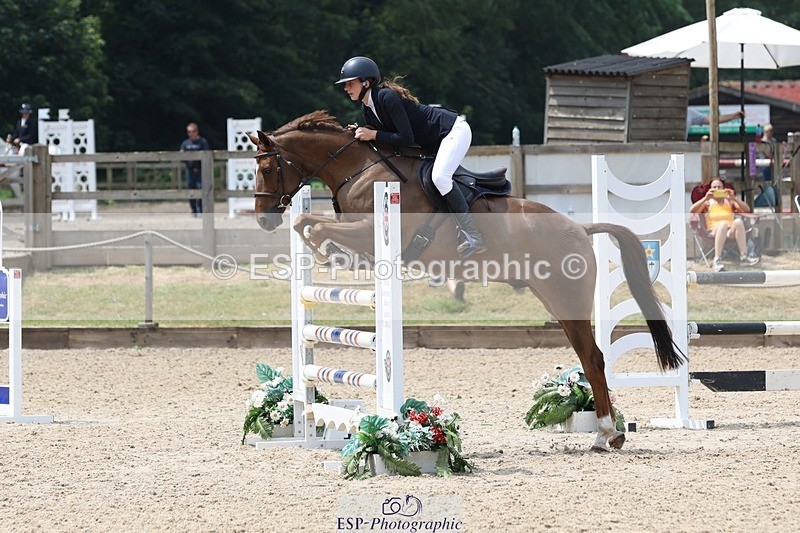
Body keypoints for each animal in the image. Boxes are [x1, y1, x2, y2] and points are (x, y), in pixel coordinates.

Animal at [248, 110, 685, 452]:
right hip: (556, 301)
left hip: (568, 302)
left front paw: (325, 249)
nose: (264, 220)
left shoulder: (373, 228)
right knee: (590, 358)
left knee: (593, 359)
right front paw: (331, 253)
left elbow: (313, 223)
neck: (359, 170)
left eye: (267, 168)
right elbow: (309, 222)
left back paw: (606, 435)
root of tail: (579, 227)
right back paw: (606, 433)